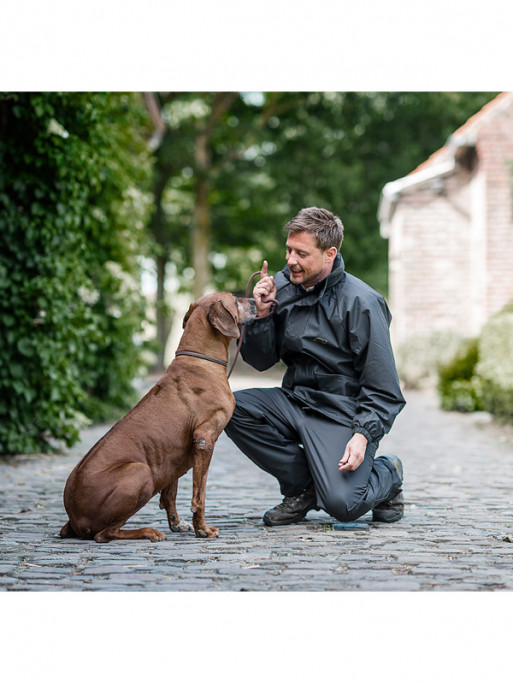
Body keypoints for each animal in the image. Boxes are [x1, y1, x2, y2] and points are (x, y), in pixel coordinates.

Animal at [59, 292, 256, 544]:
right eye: (235, 299)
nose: (256, 301)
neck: (202, 361)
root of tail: (74, 518)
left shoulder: (175, 457)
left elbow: (170, 494)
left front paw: (177, 523)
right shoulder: (204, 440)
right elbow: (199, 495)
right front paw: (202, 529)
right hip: (140, 472)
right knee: (104, 534)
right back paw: (147, 532)